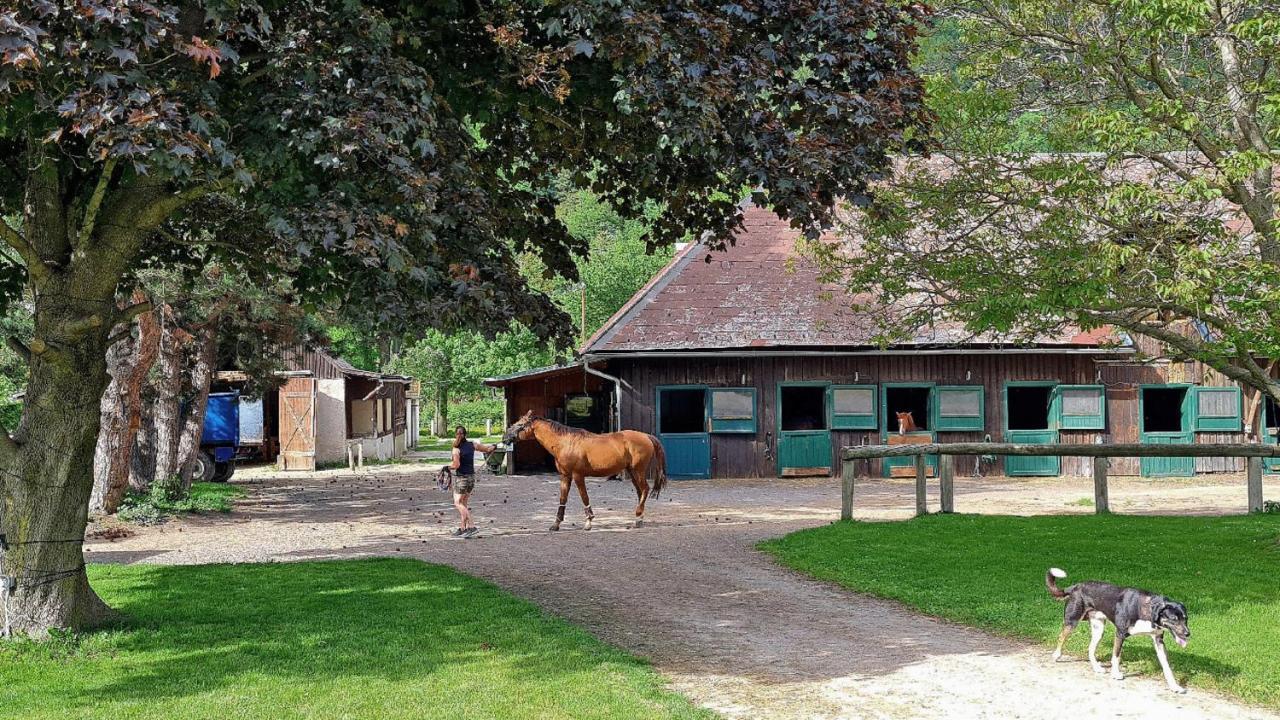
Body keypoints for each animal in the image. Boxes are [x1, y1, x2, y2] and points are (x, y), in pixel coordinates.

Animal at [501, 409, 670, 527]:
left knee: (645, 489)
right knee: (640, 492)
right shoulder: (565, 476)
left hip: (638, 471)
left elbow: (584, 497)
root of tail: (646, 436)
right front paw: (556, 524)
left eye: (520, 425)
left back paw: (638, 516)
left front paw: (588, 521)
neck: (565, 442)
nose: (504, 438)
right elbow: (563, 498)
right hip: (632, 471)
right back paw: (639, 518)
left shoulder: (578, 475)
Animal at [1049, 566, 1187, 691]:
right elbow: (1115, 656)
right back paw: (1056, 655)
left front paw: (1174, 686)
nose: (1187, 634)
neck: (1148, 609)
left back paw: (1097, 668)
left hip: (1098, 629)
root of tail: (1076, 586)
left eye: (1185, 619)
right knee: (1061, 637)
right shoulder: (1120, 634)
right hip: (1072, 621)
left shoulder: (1158, 640)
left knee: (1090, 649)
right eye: (1174, 619)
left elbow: (1167, 666)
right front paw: (1115, 674)